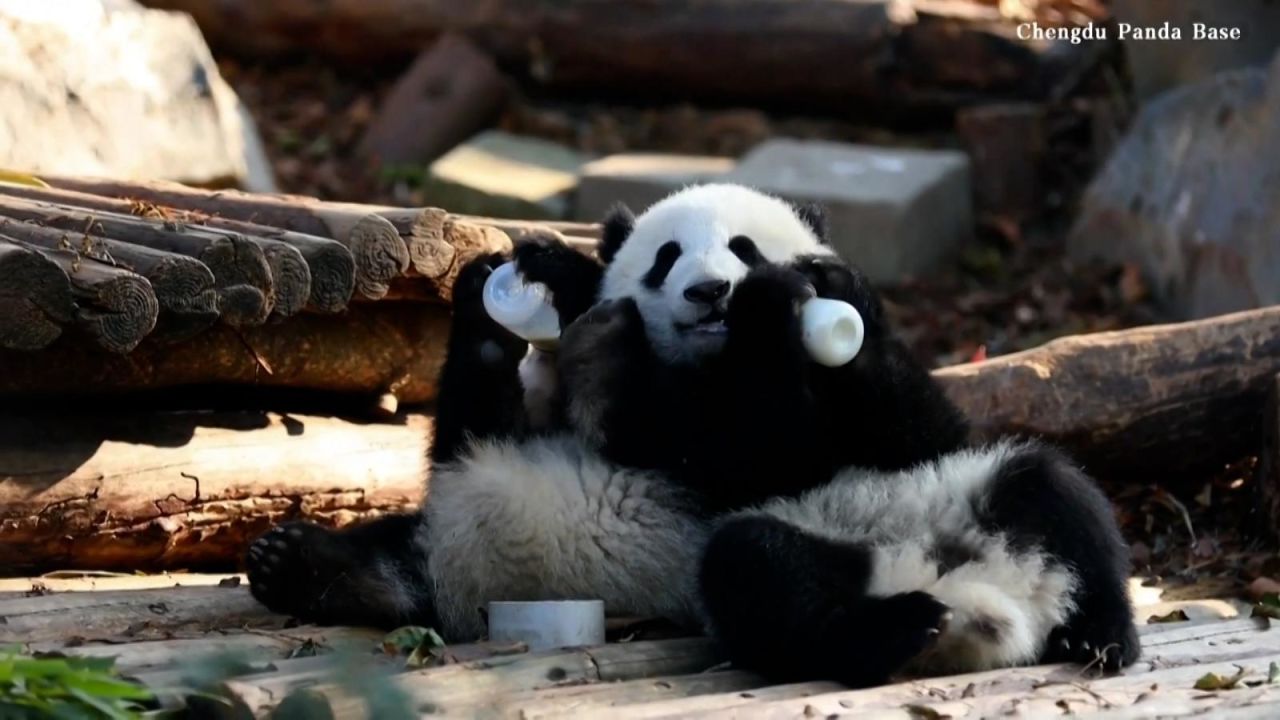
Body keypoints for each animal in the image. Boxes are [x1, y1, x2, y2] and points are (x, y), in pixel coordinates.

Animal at [244, 181, 1136, 686]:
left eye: (742, 246)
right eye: (666, 257)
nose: (713, 291)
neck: (711, 362)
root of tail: (985, 604)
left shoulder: (843, 431)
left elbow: (822, 436)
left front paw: (796, 299)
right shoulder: (545, 410)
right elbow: (497, 412)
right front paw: (525, 284)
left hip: (954, 496)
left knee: (1048, 488)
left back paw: (1101, 635)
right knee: (758, 574)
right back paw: (313, 566)